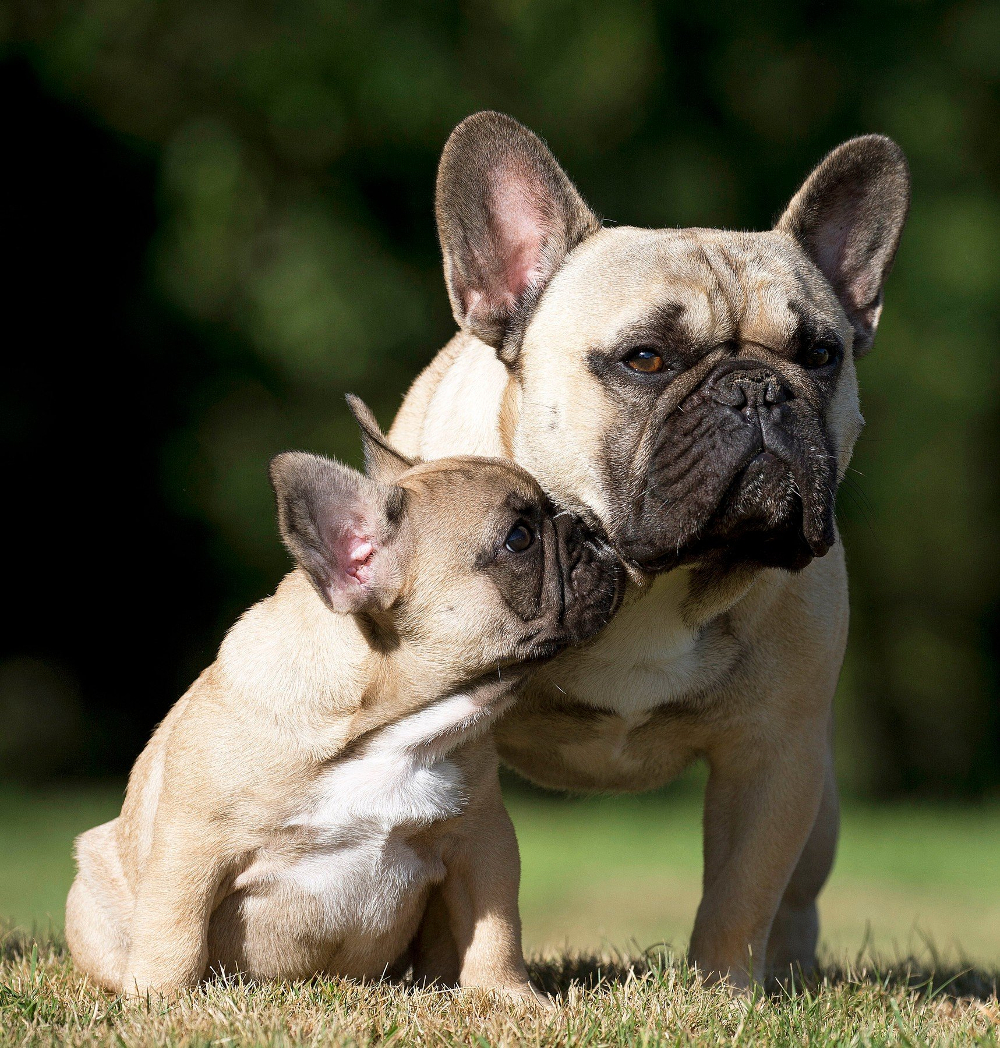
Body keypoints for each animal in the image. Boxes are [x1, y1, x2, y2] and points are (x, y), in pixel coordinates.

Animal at [62, 394, 620, 997]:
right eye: (519, 538)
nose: (586, 526)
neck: (384, 734)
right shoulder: (189, 848)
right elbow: (173, 934)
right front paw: (162, 1000)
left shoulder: (481, 840)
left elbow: (495, 929)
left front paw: (508, 996)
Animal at [385, 110, 909, 985]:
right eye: (645, 359)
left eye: (819, 355)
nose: (756, 388)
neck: (652, 581)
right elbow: (487, 880)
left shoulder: (774, 757)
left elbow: (742, 895)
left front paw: (722, 992)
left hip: (822, 806)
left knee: (795, 896)